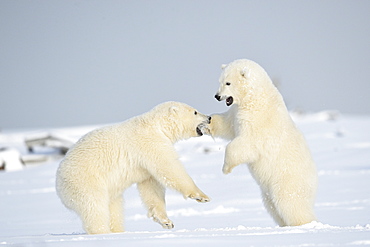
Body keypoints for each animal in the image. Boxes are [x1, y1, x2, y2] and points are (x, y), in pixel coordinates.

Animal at [55, 101, 211, 234]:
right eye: (195, 112)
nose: (209, 118)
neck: (158, 126)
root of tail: (58, 184)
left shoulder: (147, 162)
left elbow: (151, 186)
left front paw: (166, 222)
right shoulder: (151, 143)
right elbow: (170, 168)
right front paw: (202, 196)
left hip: (111, 192)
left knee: (115, 209)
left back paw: (118, 231)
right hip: (85, 182)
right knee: (94, 208)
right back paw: (102, 232)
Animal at [208, 59, 318, 226]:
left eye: (228, 83)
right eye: (220, 81)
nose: (217, 96)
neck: (255, 97)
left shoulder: (258, 121)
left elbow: (246, 145)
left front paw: (226, 168)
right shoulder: (237, 112)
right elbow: (227, 125)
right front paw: (206, 122)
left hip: (287, 181)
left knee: (291, 204)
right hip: (268, 191)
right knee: (272, 206)